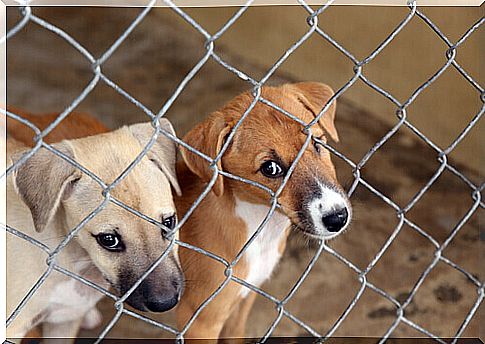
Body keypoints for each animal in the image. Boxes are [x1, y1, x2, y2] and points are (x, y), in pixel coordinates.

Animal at [5, 81, 350, 342]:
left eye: (318, 144)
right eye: (270, 168)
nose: (337, 217)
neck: (258, 226)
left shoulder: (243, 302)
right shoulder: (202, 322)